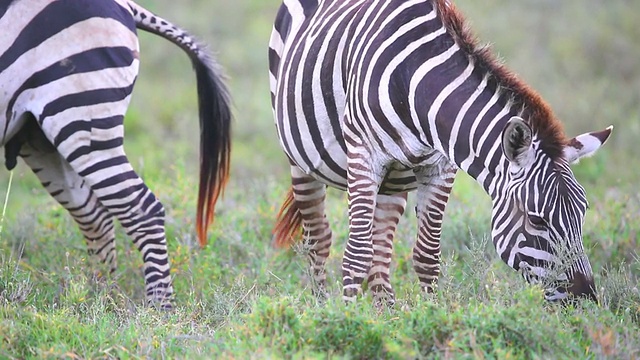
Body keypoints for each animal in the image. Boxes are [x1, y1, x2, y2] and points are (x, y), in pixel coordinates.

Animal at [1, 0, 231, 310]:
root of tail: (126, 5)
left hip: (77, 107)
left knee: (141, 209)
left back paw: (158, 309)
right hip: (39, 133)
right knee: (93, 213)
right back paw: (95, 299)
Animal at [268, 0, 612, 306]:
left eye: (583, 212)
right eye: (538, 220)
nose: (584, 299)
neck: (413, 87)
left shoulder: (440, 167)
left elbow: (427, 255)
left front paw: (430, 316)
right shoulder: (364, 157)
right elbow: (356, 255)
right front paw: (348, 322)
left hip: (394, 179)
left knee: (381, 250)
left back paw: (384, 316)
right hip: (301, 160)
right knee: (318, 239)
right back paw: (323, 307)